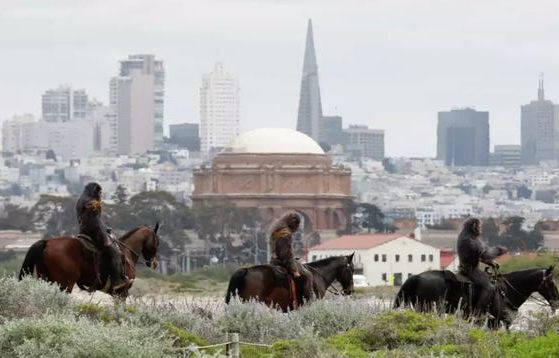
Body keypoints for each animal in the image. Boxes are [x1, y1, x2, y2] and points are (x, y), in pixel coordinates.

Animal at [19, 222, 160, 300]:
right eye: (157, 242)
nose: (155, 263)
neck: (126, 252)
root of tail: (47, 242)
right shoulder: (121, 293)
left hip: (45, 280)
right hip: (65, 285)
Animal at [394, 266, 559, 328]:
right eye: (551, 282)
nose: (556, 300)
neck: (506, 291)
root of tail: (416, 277)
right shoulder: (497, 321)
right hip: (428, 310)